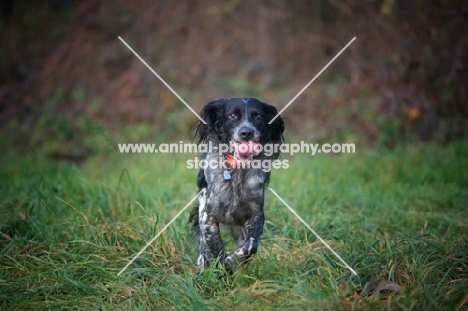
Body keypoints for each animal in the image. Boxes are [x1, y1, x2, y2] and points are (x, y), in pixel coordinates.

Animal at [187, 98, 284, 272]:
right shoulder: (208, 214)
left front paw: (233, 261)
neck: (237, 171)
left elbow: (250, 245)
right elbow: (214, 244)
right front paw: (220, 267)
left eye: (258, 116)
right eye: (232, 115)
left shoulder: (255, 213)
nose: (246, 132)